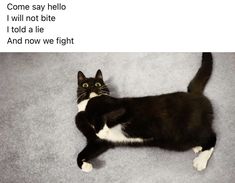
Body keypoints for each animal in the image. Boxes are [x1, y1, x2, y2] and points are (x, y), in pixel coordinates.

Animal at [75, 52, 217, 172]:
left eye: (98, 84)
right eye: (85, 85)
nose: (92, 88)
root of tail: (194, 94)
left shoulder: (119, 107)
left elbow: (86, 112)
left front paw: (101, 129)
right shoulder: (99, 143)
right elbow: (81, 145)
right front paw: (86, 166)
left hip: (184, 133)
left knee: (212, 136)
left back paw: (201, 161)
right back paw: (198, 147)